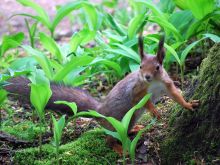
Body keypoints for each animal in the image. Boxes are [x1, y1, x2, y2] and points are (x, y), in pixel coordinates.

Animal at [3, 34, 199, 131]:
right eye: (141, 66)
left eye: (158, 67)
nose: (147, 77)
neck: (154, 84)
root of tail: (100, 111)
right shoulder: (137, 89)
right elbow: (141, 100)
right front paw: (155, 111)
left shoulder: (167, 84)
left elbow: (176, 96)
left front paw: (188, 104)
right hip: (121, 117)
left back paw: (135, 130)